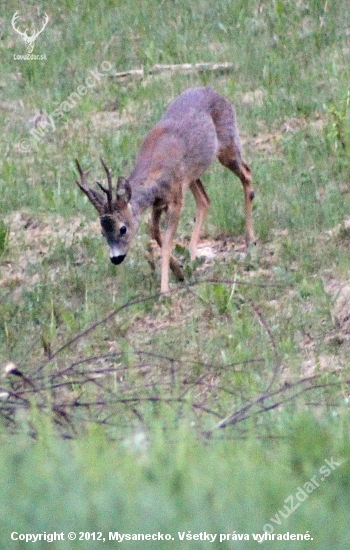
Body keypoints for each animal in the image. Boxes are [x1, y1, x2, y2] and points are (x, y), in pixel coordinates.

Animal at [75, 86, 254, 294]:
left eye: (122, 229)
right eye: (102, 232)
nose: (116, 258)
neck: (154, 172)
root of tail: (216, 92)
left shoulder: (175, 199)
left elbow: (168, 240)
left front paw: (164, 289)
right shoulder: (158, 202)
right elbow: (154, 231)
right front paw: (179, 271)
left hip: (228, 145)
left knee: (247, 173)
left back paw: (250, 240)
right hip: (191, 175)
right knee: (205, 200)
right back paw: (194, 256)